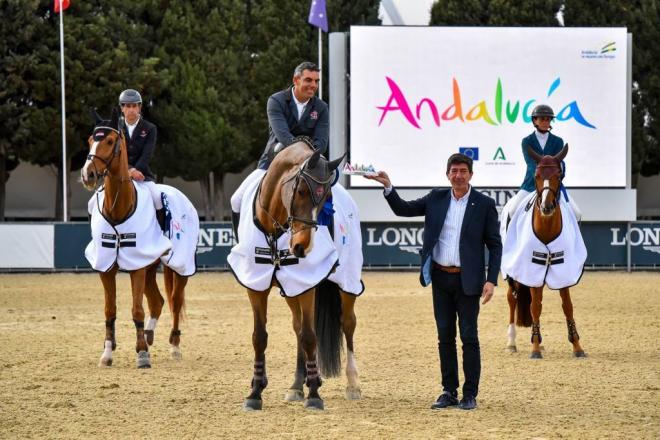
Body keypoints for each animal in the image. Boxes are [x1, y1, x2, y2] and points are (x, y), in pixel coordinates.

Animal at [80, 109, 191, 368]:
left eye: (110, 141)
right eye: (90, 140)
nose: (88, 174)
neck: (118, 206)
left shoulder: (136, 266)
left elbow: (137, 309)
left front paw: (141, 353)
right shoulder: (107, 267)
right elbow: (110, 310)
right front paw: (107, 353)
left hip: (178, 266)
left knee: (174, 300)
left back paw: (174, 346)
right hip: (149, 266)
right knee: (158, 301)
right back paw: (149, 335)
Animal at [235, 140, 360, 410]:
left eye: (327, 198)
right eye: (301, 191)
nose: (302, 247)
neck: (273, 229)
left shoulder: (307, 283)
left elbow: (310, 337)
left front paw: (314, 395)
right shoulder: (256, 284)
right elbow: (260, 337)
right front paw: (255, 392)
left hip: (347, 281)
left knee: (347, 323)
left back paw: (352, 384)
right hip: (291, 289)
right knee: (297, 328)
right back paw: (296, 385)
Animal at [506, 144, 588, 358]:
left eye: (559, 175)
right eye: (536, 175)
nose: (546, 207)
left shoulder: (564, 269)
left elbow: (567, 306)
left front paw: (577, 346)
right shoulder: (530, 267)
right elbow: (534, 307)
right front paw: (535, 348)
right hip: (513, 272)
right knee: (512, 299)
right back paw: (512, 342)